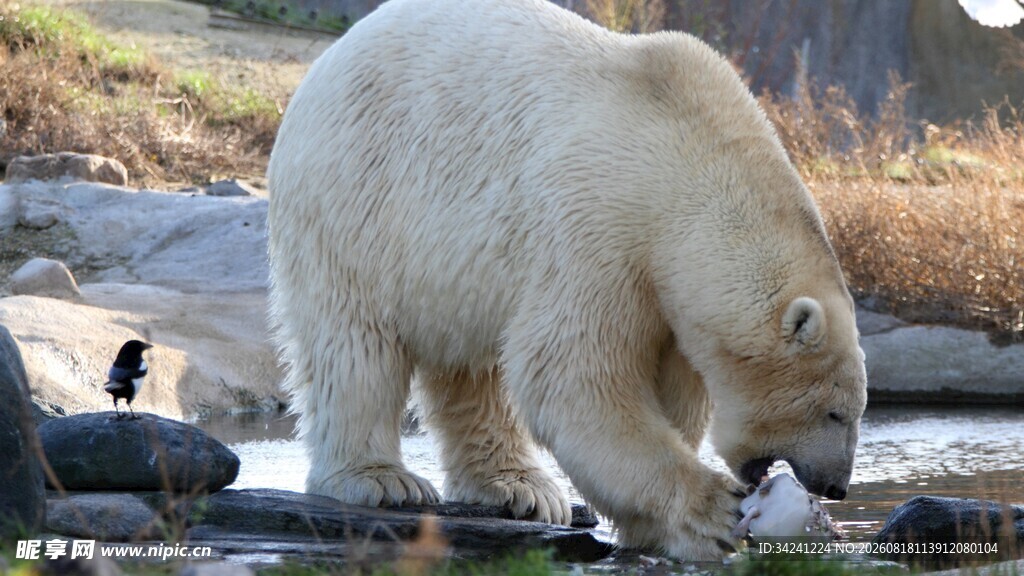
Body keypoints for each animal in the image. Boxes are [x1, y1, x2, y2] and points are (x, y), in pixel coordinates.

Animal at [266, 0, 867, 559]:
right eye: (834, 411)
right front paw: (711, 512)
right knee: (355, 345)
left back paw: (519, 488)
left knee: (473, 367)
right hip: (357, 200)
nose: (836, 486)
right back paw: (382, 480)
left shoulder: (665, 291)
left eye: (854, 409)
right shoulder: (598, 228)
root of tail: (330, 58)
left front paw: (655, 529)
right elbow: (573, 373)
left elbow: (670, 385)